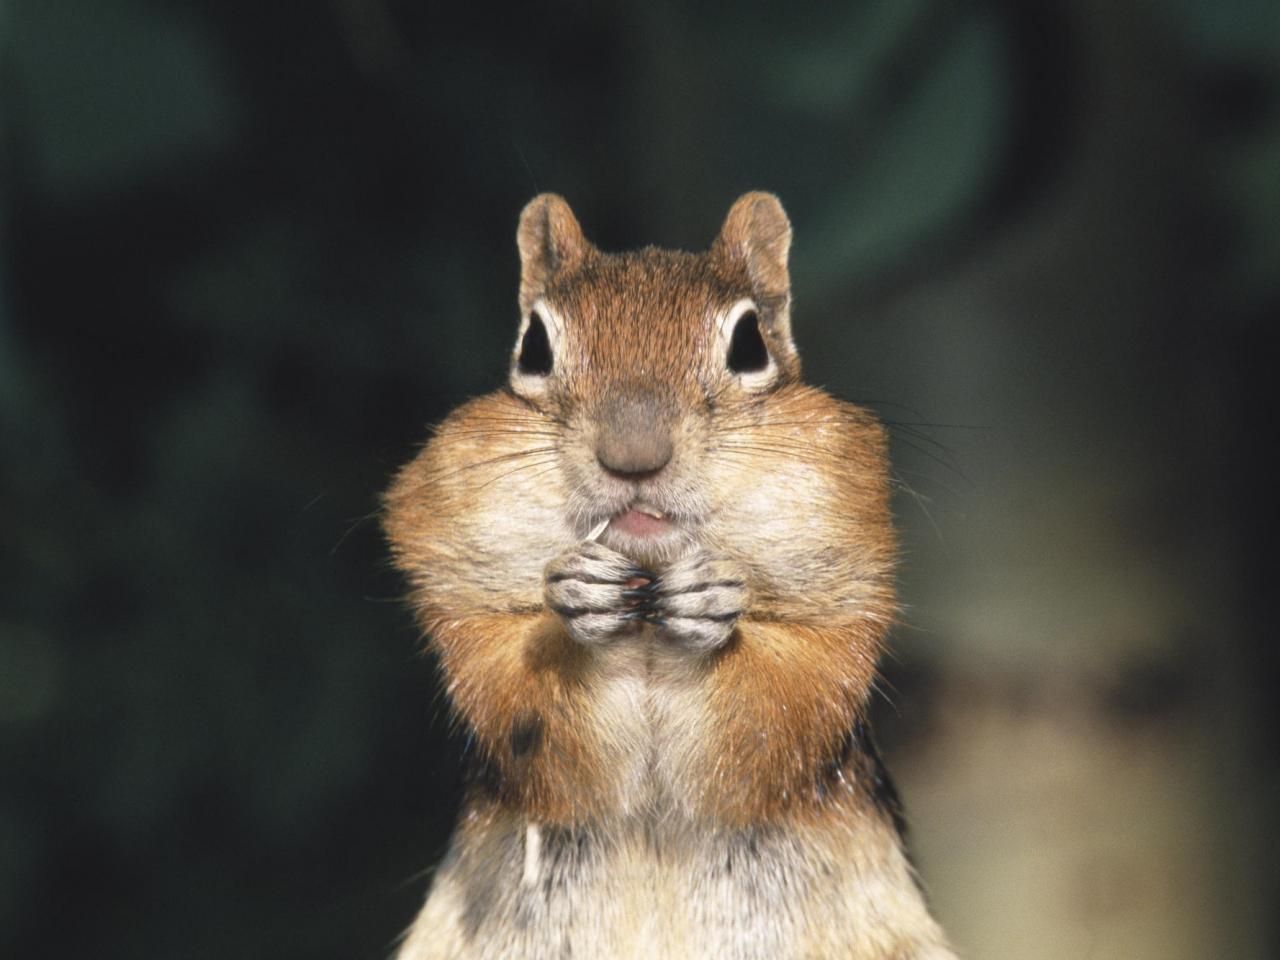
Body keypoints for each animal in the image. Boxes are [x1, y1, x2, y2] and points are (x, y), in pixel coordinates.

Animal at [384, 192, 957, 957]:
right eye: (533, 347)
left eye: (749, 345)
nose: (634, 456)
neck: (646, 627)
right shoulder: (465, 607)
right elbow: (515, 701)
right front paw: (577, 599)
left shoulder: (842, 609)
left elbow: (789, 703)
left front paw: (713, 603)